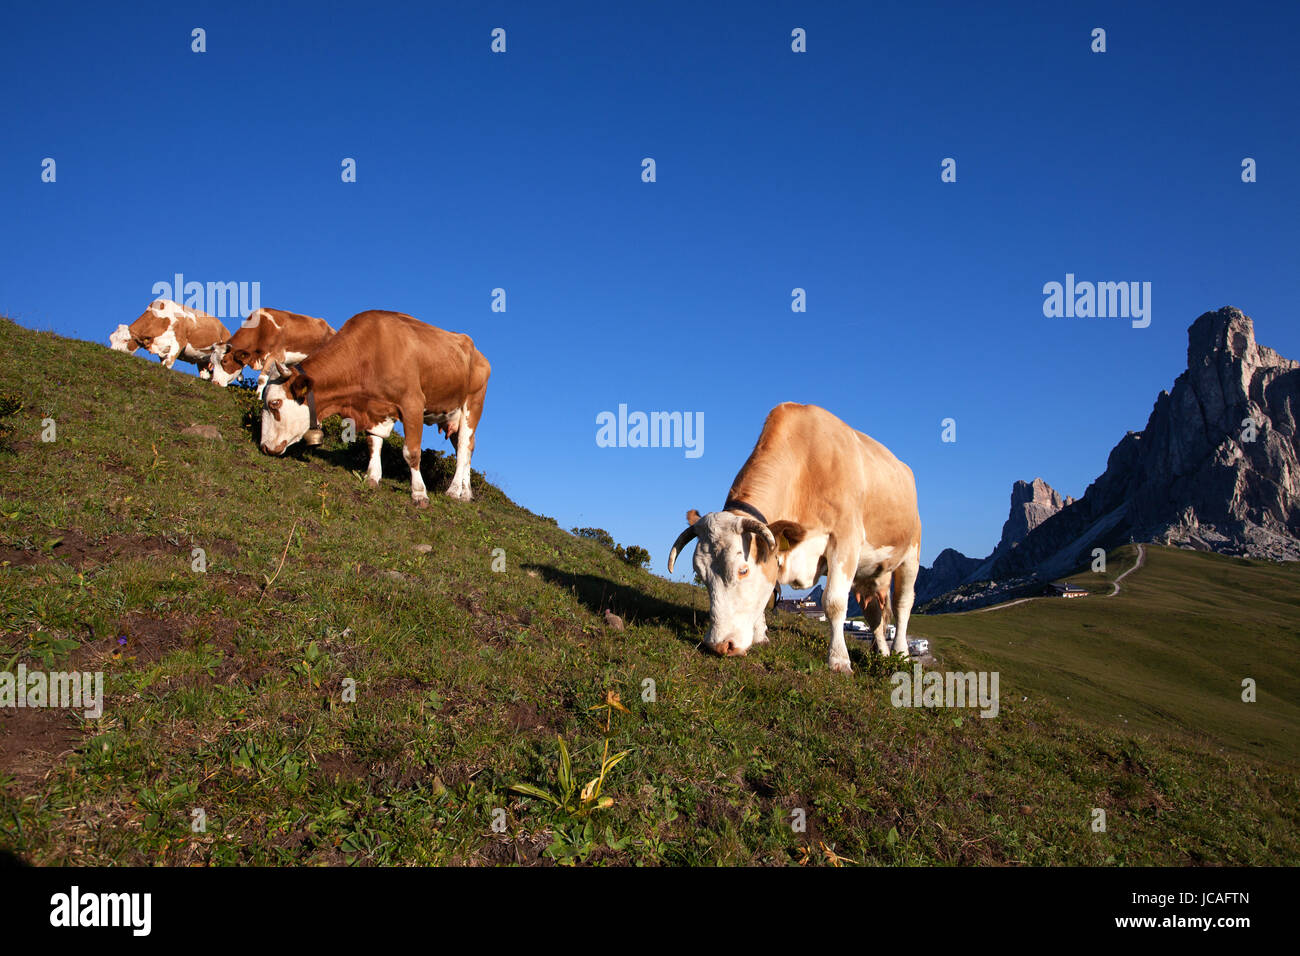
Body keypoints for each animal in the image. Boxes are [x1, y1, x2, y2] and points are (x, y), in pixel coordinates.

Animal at [208, 308, 336, 395]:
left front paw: (257, 398)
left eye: (225, 361)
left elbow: (261, 379)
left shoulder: (275, 356)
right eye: (212, 362)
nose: (215, 383)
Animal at [257, 310, 490, 505]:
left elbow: (412, 452)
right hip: (451, 415)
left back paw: (453, 491)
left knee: (463, 447)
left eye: (275, 403)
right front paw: (372, 477)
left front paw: (419, 493)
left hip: (472, 405)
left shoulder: (412, 403)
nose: (264, 447)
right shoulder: (374, 409)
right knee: (465, 449)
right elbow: (374, 442)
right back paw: (466, 492)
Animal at [667, 402, 922, 674]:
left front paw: (839, 660)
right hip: (870, 572)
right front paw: (761, 635)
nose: (719, 645)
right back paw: (882, 654)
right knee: (875, 613)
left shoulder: (846, 539)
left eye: (743, 570)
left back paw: (902, 654)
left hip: (911, 554)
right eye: (701, 574)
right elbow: (769, 592)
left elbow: (834, 602)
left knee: (902, 604)